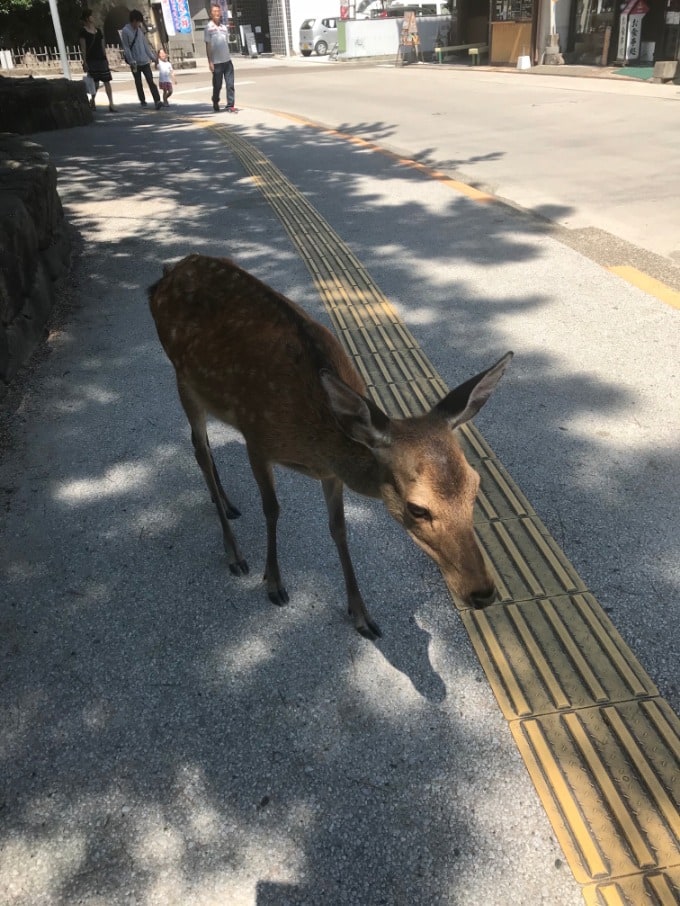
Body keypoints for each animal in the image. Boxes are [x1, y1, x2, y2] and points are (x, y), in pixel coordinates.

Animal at [147, 251, 510, 640]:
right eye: (417, 508)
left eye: (475, 487)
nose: (483, 593)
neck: (318, 444)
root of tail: (165, 276)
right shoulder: (256, 438)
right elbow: (272, 509)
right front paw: (273, 582)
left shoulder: (330, 474)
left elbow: (339, 529)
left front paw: (362, 614)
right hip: (183, 377)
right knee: (199, 448)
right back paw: (234, 553)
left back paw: (226, 504)